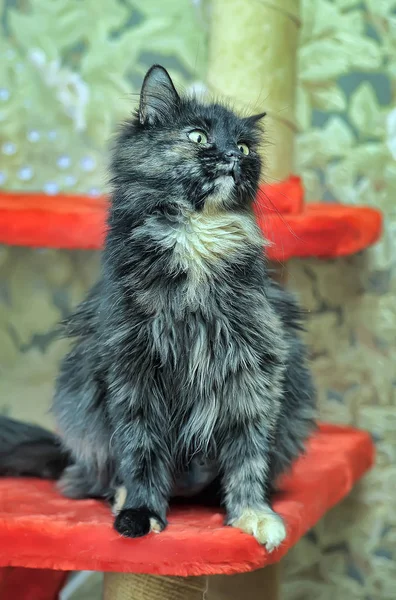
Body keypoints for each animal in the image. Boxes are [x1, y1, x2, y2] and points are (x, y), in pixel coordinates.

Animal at [0, 65, 316, 552]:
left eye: (245, 147)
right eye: (198, 137)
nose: (232, 154)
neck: (198, 237)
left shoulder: (254, 366)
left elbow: (248, 454)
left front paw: (252, 515)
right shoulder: (134, 368)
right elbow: (142, 452)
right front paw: (142, 514)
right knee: (101, 476)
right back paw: (121, 496)